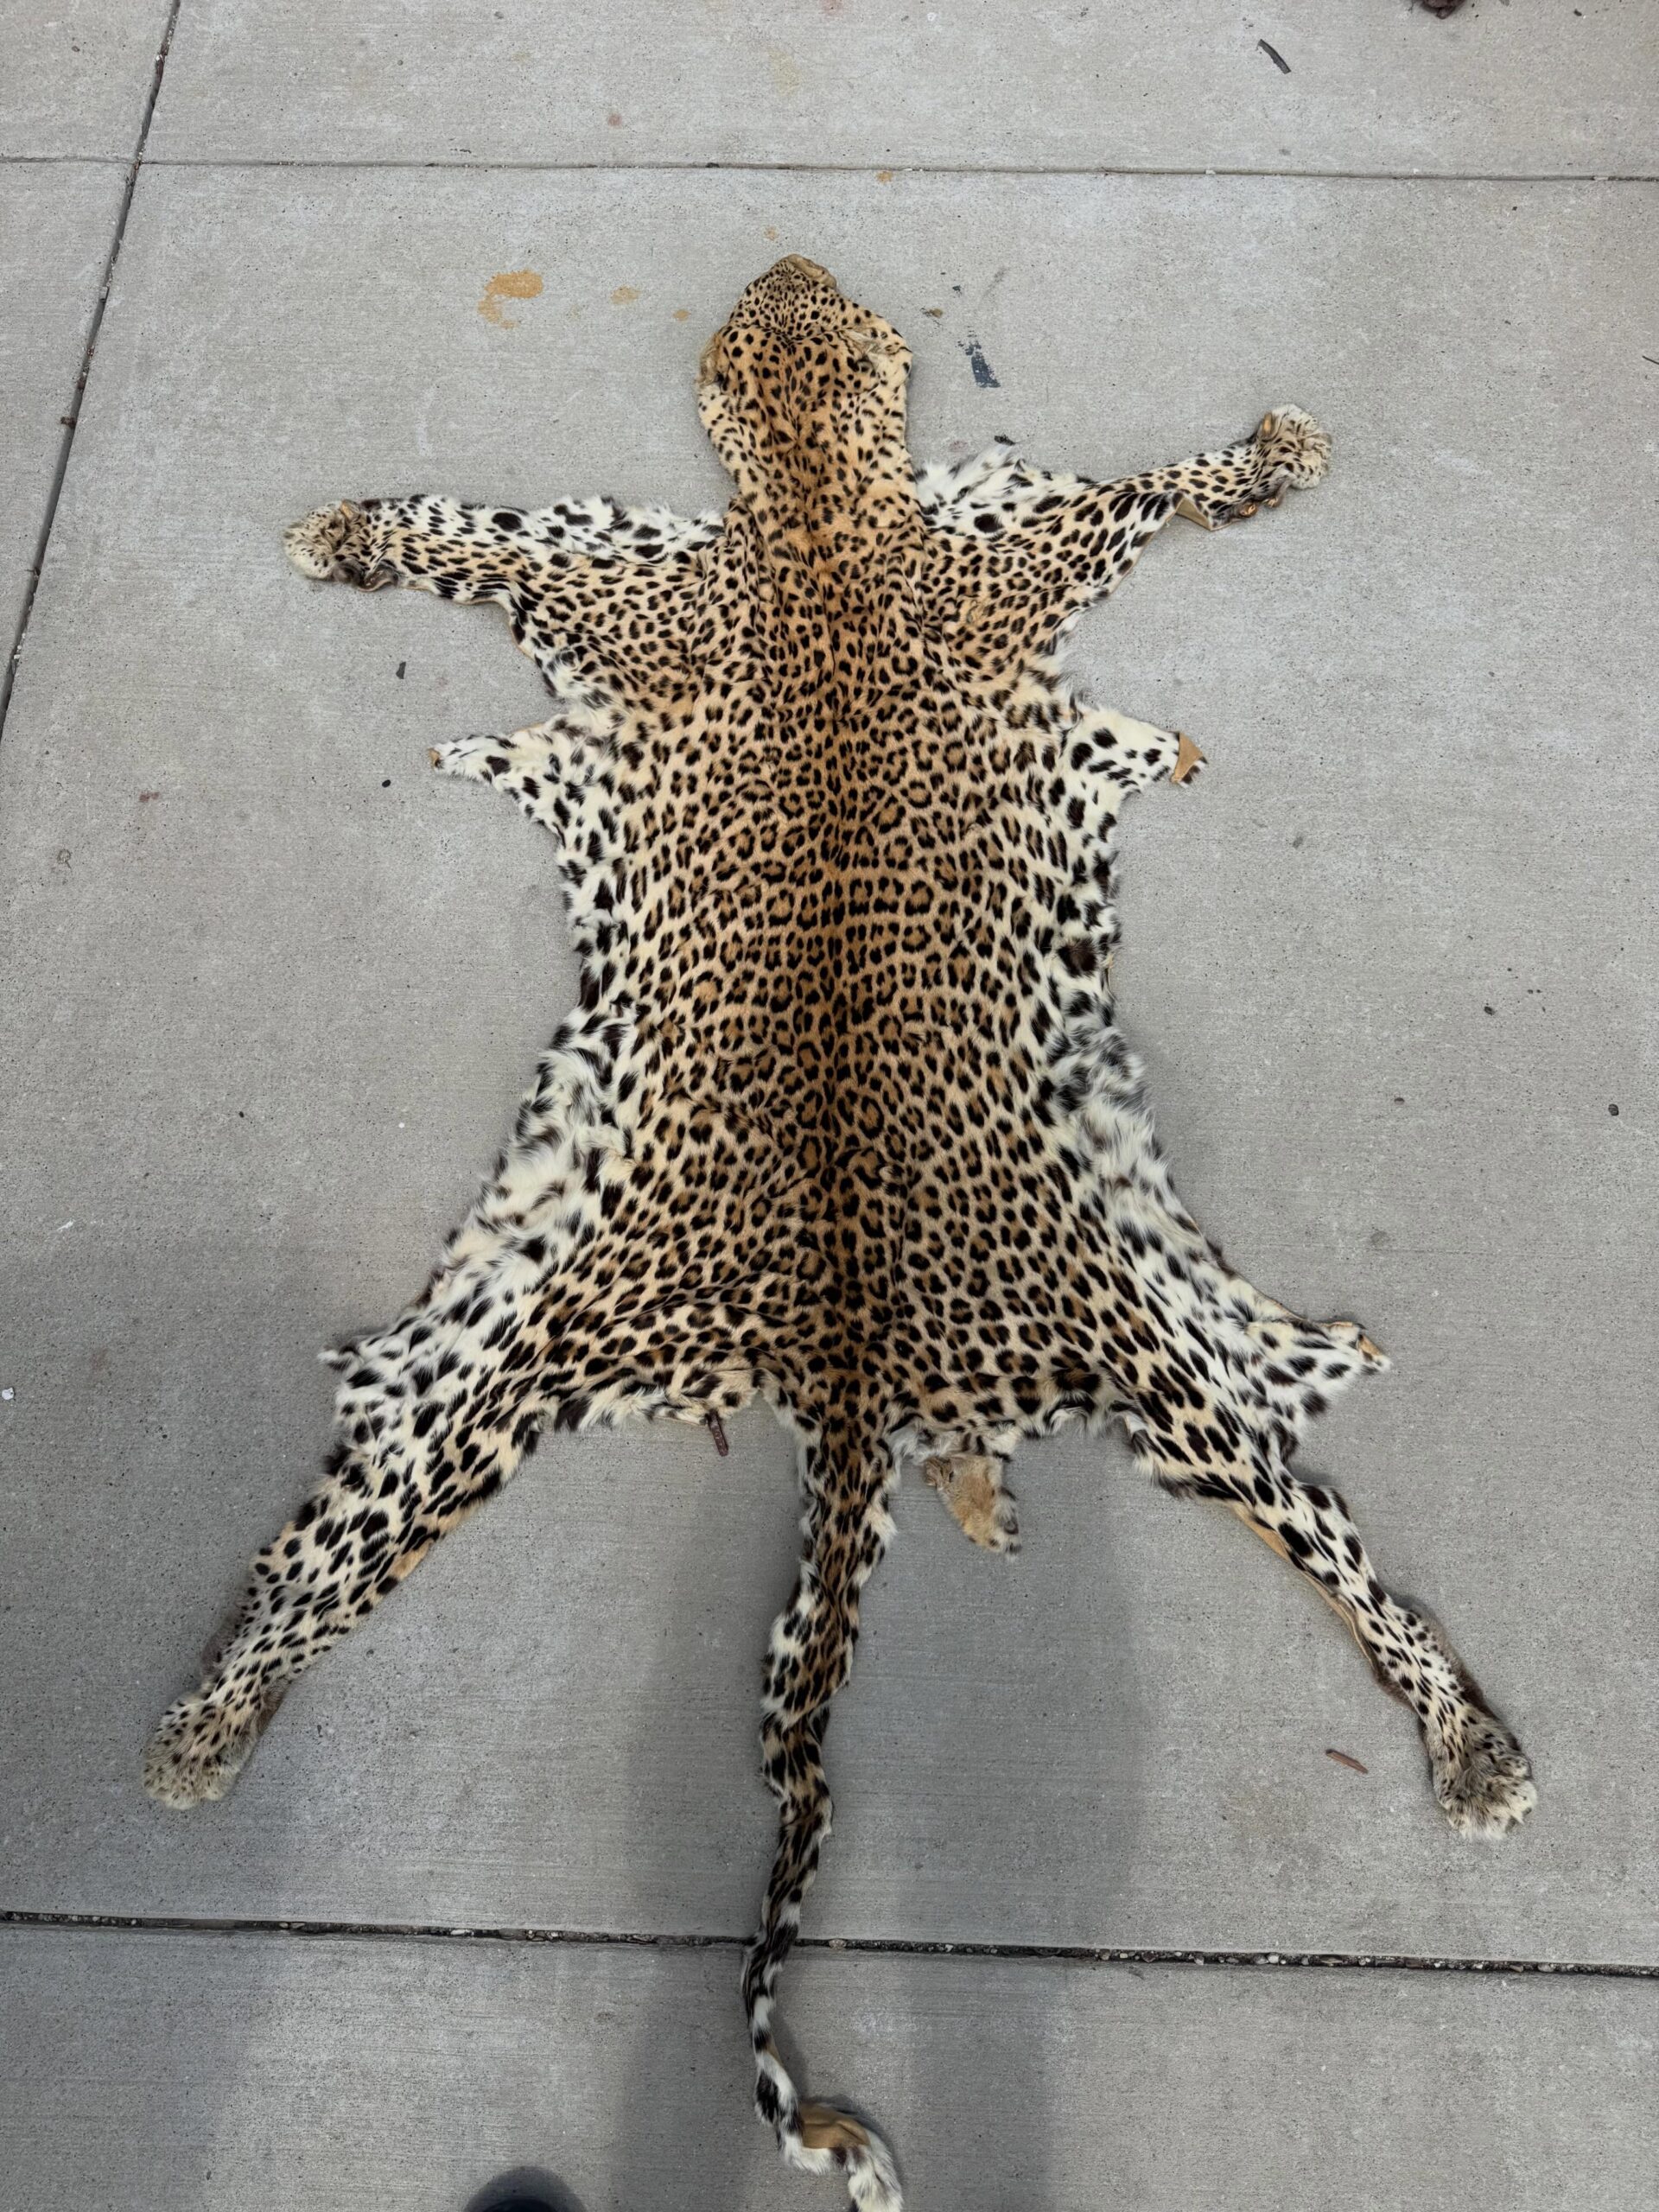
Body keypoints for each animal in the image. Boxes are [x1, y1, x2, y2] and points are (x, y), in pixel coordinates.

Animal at [144, 255, 1534, 2211]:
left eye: (817, 322)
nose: (789, 263)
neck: (810, 509)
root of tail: (857, 1353)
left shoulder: (744, 561)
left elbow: (525, 533)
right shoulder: (770, 562)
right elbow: (492, 530)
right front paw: (348, 529)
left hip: (633, 1347)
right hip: (977, 1353)